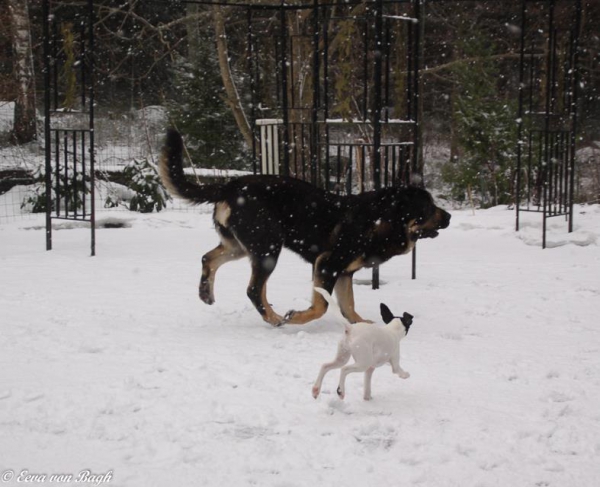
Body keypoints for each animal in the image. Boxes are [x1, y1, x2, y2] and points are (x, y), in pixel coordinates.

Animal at [159, 130, 450, 328]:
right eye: (428, 207)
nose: (448, 216)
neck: (379, 219)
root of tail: (230, 185)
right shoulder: (327, 264)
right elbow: (321, 305)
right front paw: (296, 317)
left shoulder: (343, 273)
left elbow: (348, 305)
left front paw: (361, 325)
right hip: (268, 247)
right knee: (253, 289)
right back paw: (275, 318)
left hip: (241, 247)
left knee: (209, 259)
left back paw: (207, 293)